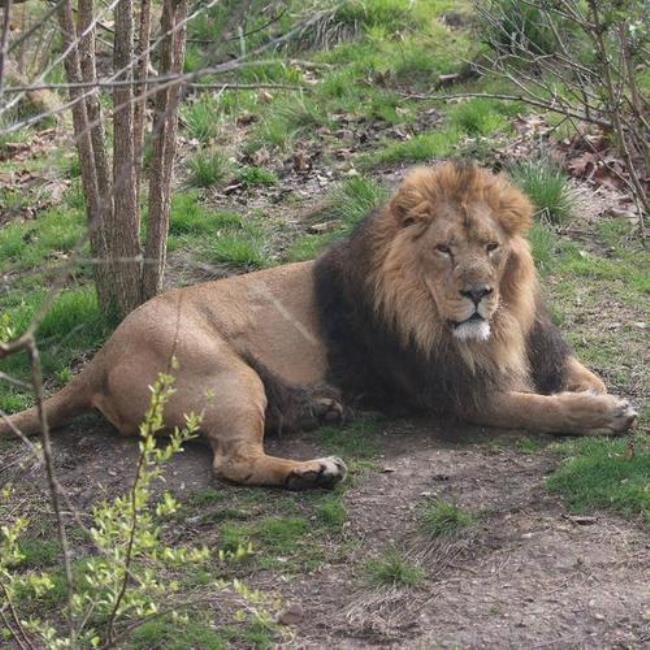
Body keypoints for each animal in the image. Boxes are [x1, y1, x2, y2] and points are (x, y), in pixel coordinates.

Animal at [0, 161, 636, 486]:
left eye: (491, 247)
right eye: (444, 250)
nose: (479, 293)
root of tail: (101, 357)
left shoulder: (535, 345)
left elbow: (579, 375)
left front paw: (591, 393)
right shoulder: (455, 391)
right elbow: (535, 408)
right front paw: (601, 415)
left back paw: (319, 412)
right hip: (226, 376)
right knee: (233, 463)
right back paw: (313, 470)